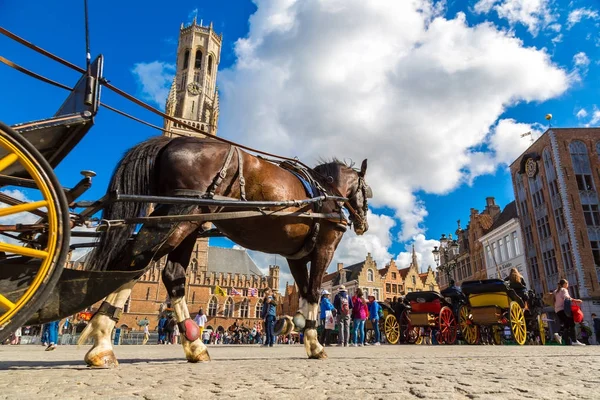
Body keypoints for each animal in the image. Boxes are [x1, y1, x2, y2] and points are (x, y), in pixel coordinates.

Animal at [77, 136, 370, 368]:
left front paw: (301, 332)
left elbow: (307, 293)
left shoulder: (294, 257)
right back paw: (102, 343)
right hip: (179, 216)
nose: (363, 224)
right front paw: (315, 345)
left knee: (171, 275)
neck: (326, 194)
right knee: (136, 259)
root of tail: (172, 141)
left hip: (188, 224)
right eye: (367, 192)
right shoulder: (324, 249)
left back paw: (194, 347)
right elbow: (314, 294)